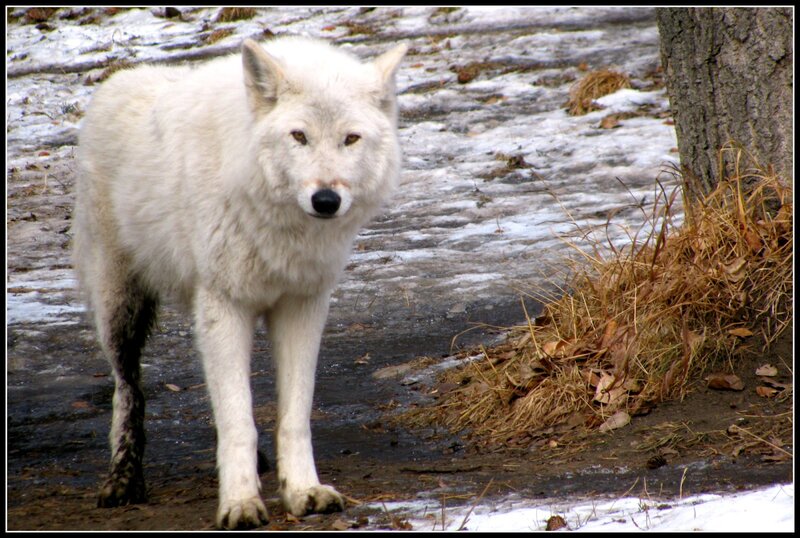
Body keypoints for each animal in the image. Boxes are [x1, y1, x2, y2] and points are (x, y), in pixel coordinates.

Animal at [72, 36, 406, 529]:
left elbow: (292, 416)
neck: (281, 226)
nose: (326, 200)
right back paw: (123, 480)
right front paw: (241, 503)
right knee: (126, 387)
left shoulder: (302, 304)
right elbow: (237, 421)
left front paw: (302, 491)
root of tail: (117, 80)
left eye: (351, 138)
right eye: (299, 136)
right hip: (121, 306)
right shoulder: (225, 303)